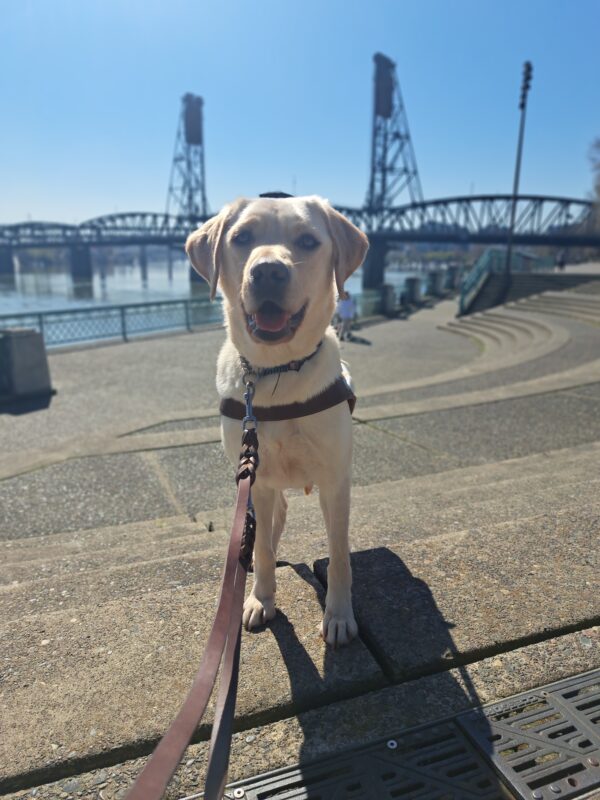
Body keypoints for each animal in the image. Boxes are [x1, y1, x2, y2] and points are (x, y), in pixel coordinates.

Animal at [185, 194, 368, 644]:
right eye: (241, 237)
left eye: (308, 241)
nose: (268, 270)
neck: (277, 372)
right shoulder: (261, 479)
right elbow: (265, 547)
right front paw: (260, 599)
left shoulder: (335, 481)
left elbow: (338, 553)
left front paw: (339, 615)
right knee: (267, 527)